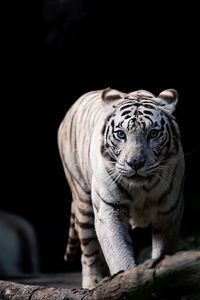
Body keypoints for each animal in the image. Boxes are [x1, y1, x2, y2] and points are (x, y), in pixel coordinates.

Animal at [57, 88, 184, 290]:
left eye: (153, 133)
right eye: (121, 134)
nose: (135, 163)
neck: (142, 188)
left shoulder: (169, 213)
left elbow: (164, 250)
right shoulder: (109, 210)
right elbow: (118, 252)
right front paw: (126, 279)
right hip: (83, 202)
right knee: (89, 253)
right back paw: (93, 283)